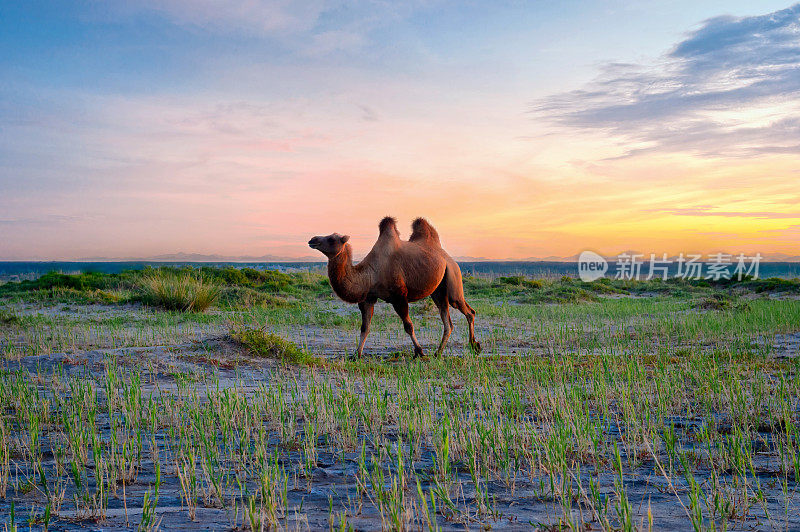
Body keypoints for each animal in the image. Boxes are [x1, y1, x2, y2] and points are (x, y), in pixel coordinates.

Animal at [310, 216, 478, 358]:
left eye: (331, 239)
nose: (312, 239)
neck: (371, 273)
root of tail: (447, 257)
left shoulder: (399, 297)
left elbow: (408, 326)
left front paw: (419, 352)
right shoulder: (368, 298)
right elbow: (365, 327)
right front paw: (356, 355)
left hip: (453, 277)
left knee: (467, 311)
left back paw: (474, 346)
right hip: (438, 290)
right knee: (447, 319)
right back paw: (439, 353)